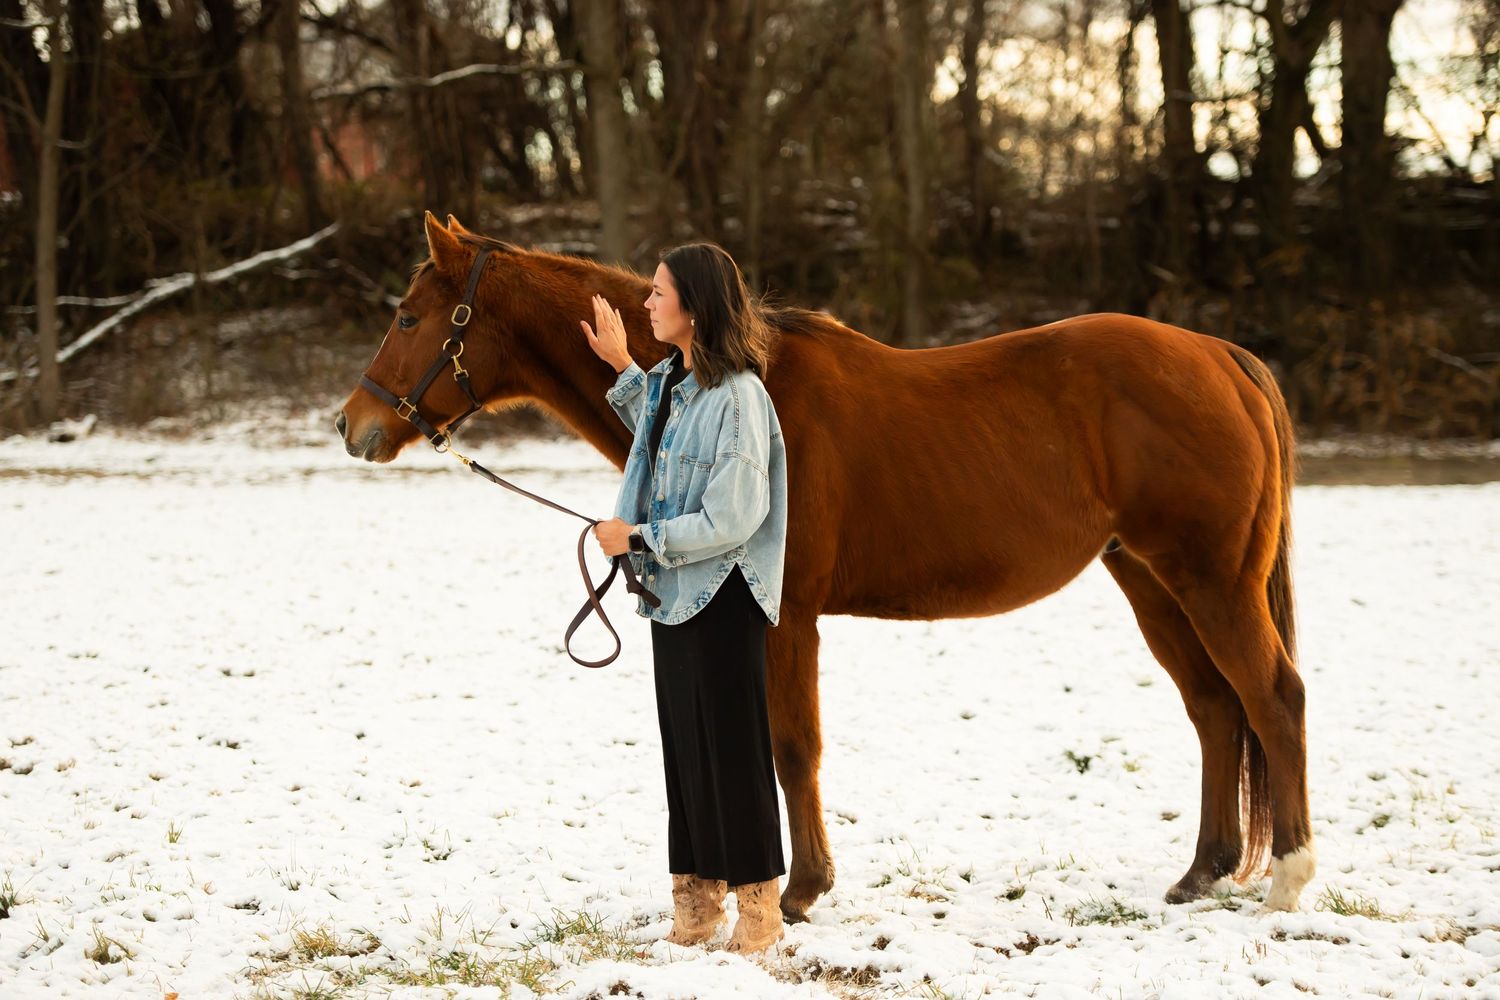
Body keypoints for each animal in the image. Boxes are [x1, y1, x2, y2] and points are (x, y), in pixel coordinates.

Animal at [336, 211, 1315, 920]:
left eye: (409, 317)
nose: (353, 424)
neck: (746, 376)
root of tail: (1220, 357)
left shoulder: (786, 613)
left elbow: (792, 746)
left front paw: (801, 891)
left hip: (1210, 580)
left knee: (1272, 697)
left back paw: (1288, 878)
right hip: (1150, 580)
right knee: (1215, 708)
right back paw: (1203, 872)